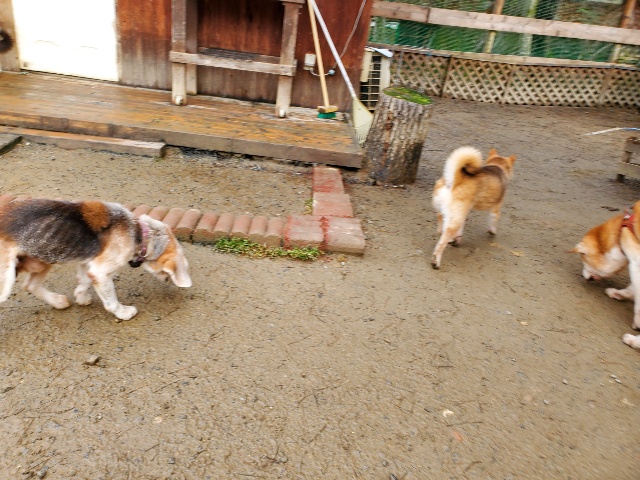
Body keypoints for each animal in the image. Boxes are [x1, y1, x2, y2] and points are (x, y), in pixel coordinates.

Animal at [0, 198, 191, 321]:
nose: (169, 281)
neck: (137, 232)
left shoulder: (89, 264)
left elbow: (84, 281)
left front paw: (81, 296)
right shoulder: (101, 272)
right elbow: (111, 300)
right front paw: (123, 312)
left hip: (43, 259)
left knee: (30, 285)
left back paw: (58, 301)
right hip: (8, 278)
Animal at [572, 201, 640, 349]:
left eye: (583, 259)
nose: (583, 276)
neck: (623, 229)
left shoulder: (637, 264)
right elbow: (632, 289)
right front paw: (618, 293)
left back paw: (633, 341)